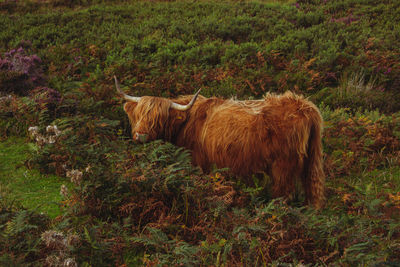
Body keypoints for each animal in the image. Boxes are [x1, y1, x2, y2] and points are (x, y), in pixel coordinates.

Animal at [115, 76, 324, 208]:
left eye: (159, 119)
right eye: (139, 114)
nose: (140, 135)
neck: (186, 122)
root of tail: (306, 107)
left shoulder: (200, 164)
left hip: (282, 168)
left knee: (283, 196)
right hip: (311, 163)